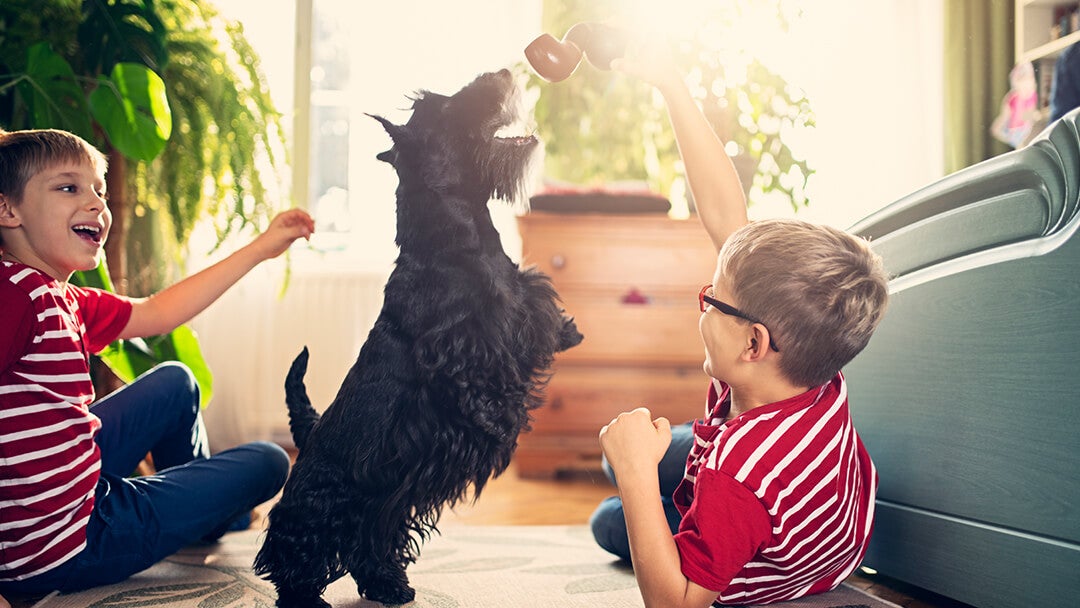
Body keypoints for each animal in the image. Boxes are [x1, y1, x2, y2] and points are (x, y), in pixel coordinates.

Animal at [251, 71, 583, 608]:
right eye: (441, 106)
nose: (503, 74)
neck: (456, 238)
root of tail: (312, 433)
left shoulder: (522, 305)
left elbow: (541, 322)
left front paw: (568, 332)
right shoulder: (459, 348)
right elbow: (476, 383)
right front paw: (497, 420)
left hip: (383, 502)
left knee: (369, 545)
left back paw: (390, 584)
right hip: (318, 505)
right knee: (292, 555)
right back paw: (306, 595)